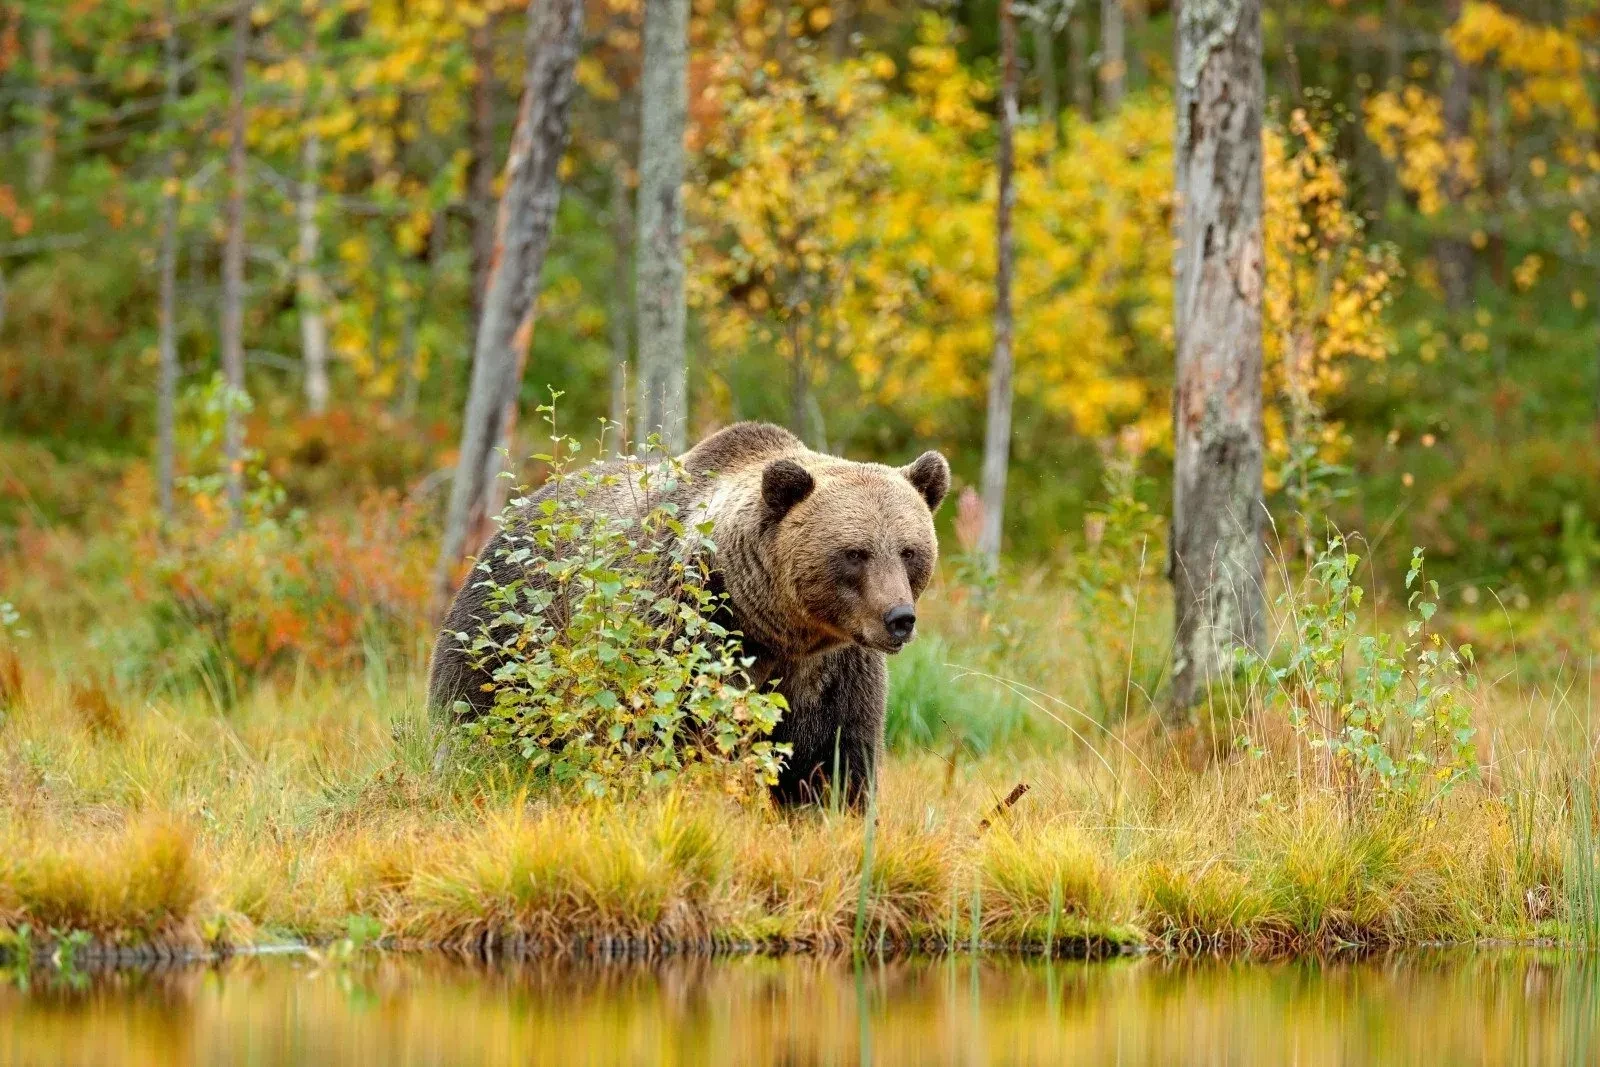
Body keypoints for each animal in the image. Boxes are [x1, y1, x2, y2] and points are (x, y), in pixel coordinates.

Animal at [427, 422, 950, 808]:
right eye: (855, 553)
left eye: (909, 550)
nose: (899, 618)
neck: (773, 628)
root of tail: (527, 502)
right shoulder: (686, 628)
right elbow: (664, 735)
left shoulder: (833, 670)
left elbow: (833, 762)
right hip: (510, 620)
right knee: (472, 705)